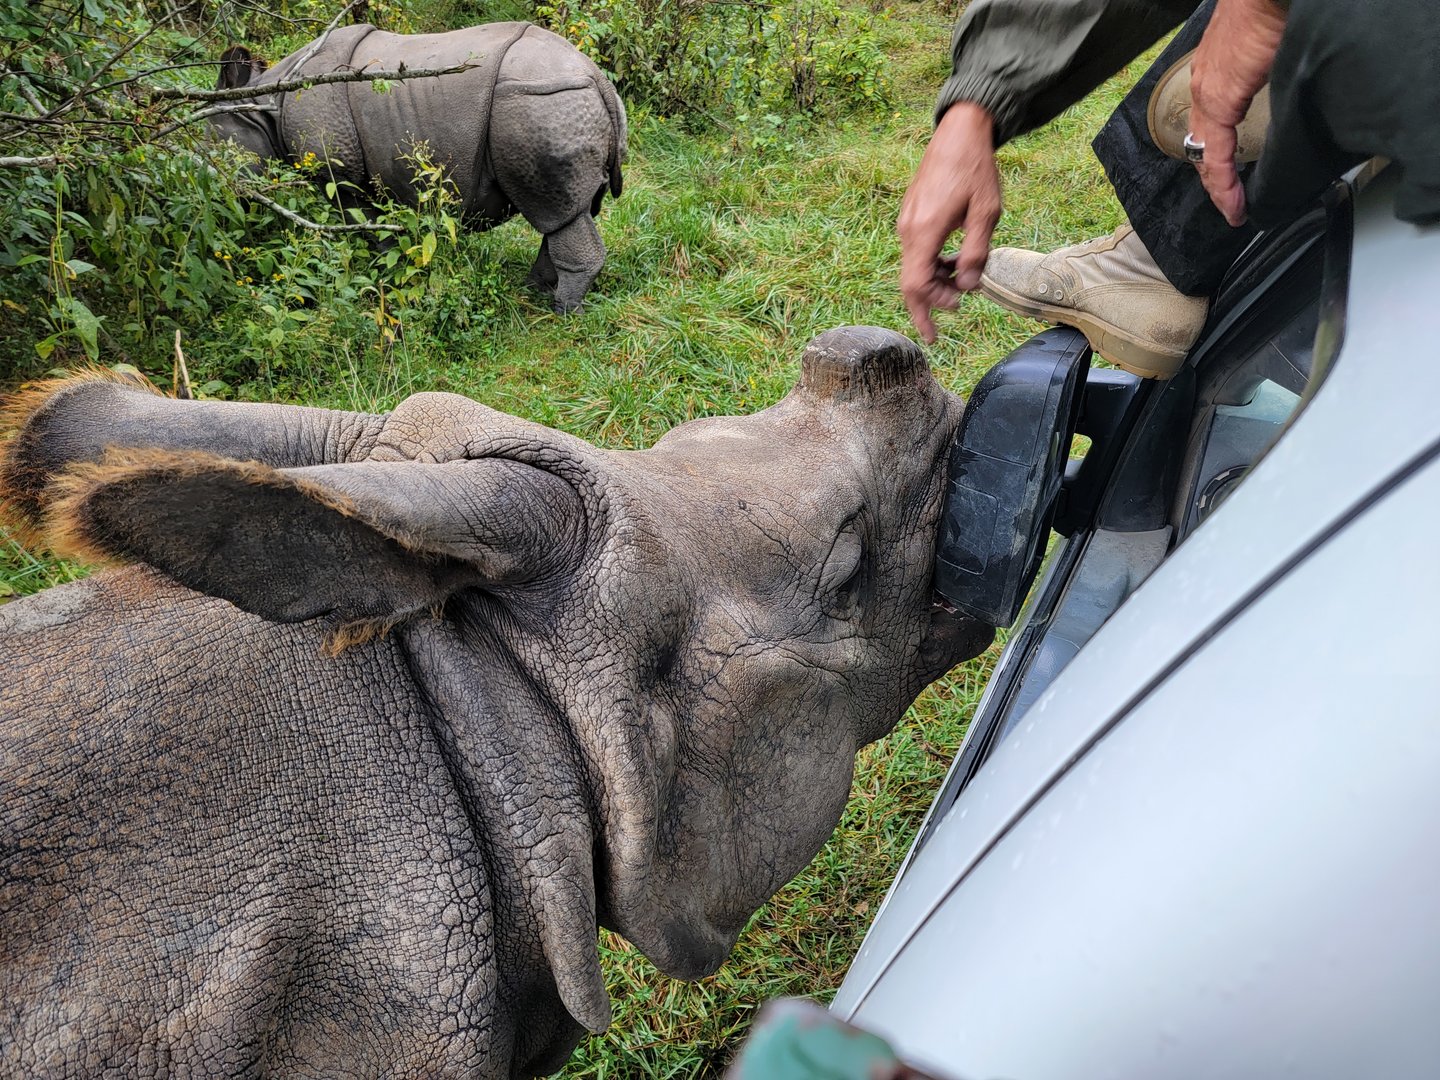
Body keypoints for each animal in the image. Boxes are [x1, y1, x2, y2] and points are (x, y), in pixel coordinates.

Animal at [210, 22, 627, 313]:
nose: (222, 199)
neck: (263, 106)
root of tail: (599, 78)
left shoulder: (338, 173)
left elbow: (364, 226)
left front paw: (381, 278)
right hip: (552, 102)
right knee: (565, 214)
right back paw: (534, 290)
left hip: (539, 102)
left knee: (555, 212)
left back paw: (562, 311)